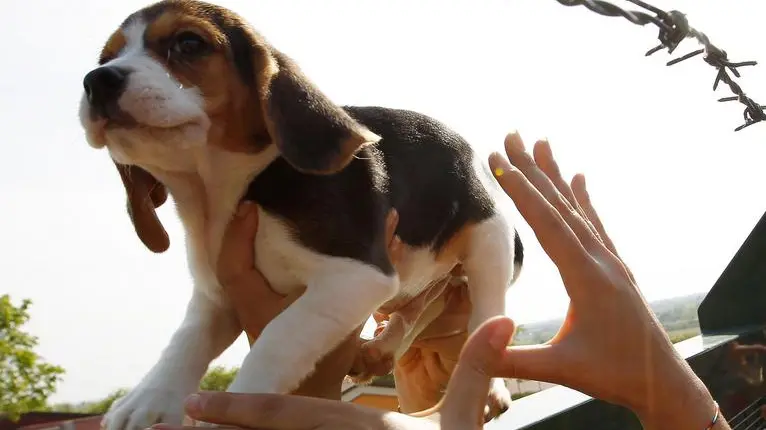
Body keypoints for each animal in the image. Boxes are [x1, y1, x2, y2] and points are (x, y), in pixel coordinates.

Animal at [78, 1, 524, 428]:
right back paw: (380, 349)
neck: (221, 189)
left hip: (488, 242)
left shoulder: (356, 277)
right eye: (107, 57)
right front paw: (146, 402)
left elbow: (277, 339)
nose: (96, 81)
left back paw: (491, 385)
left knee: (486, 314)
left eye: (189, 43)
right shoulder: (217, 293)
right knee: (418, 309)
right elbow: (186, 340)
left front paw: (233, 406)